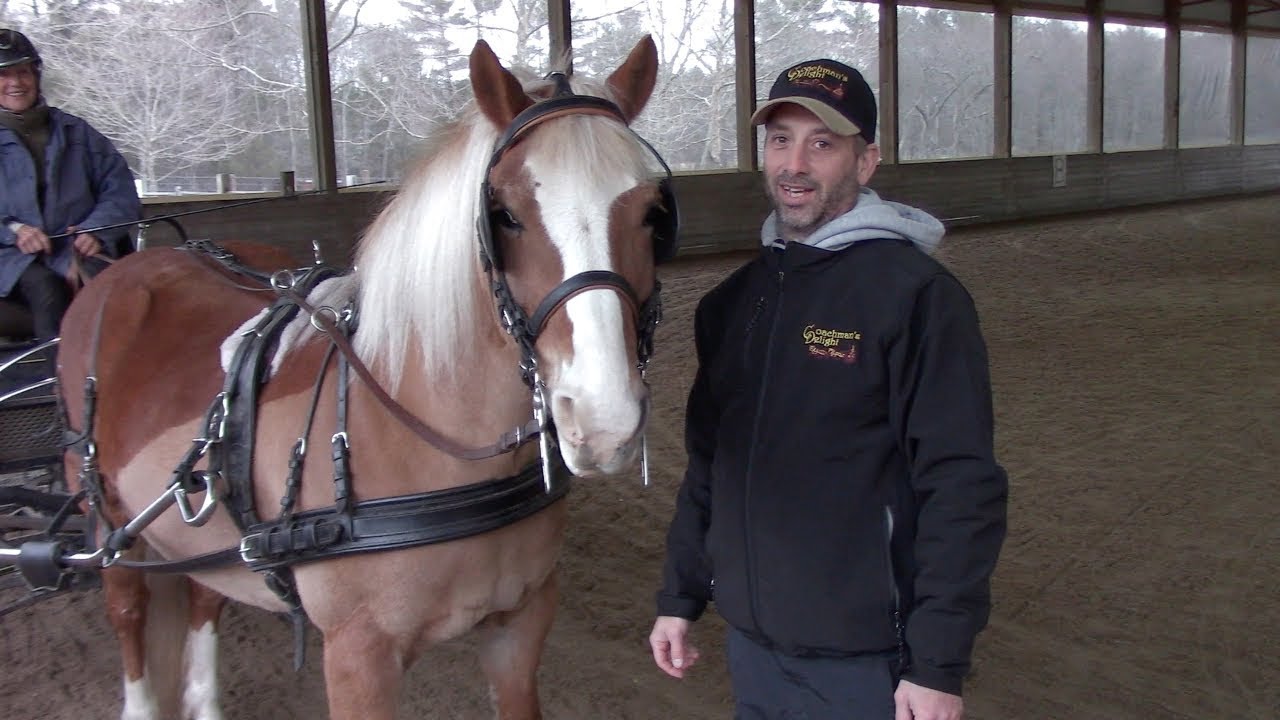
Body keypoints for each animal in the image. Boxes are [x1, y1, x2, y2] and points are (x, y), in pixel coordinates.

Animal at [56, 36, 674, 720]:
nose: (602, 419)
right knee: (130, 615)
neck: (421, 434)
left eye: (653, 214)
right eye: (505, 214)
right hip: (110, 520)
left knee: (202, 598)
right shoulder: (358, 656)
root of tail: (124, 265)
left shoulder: (520, 624)